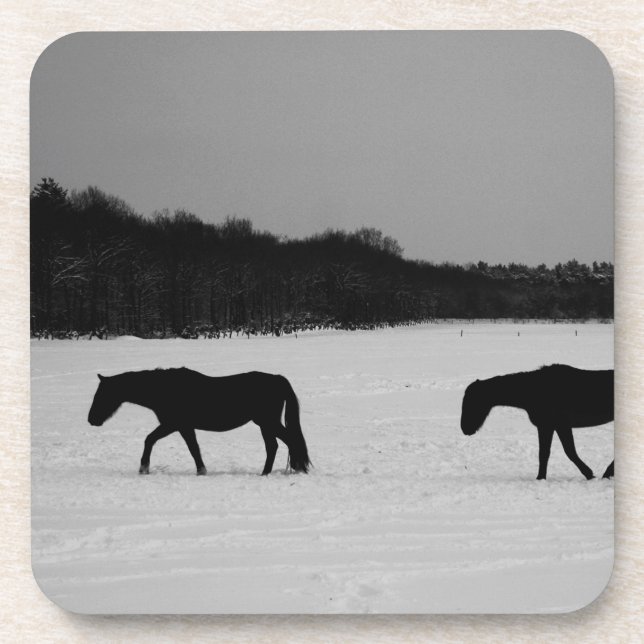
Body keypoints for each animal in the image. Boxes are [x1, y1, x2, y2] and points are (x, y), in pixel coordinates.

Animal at [87, 368, 311, 476]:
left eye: (102, 394)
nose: (91, 419)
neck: (164, 389)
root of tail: (277, 378)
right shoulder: (183, 427)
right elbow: (193, 448)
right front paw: (201, 470)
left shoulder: (175, 425)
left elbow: (151, 439)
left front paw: (144, 468)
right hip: (265, 424)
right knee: (274, 446)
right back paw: (266, 473)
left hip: (267, 422)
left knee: (288, 441)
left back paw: (293, 469)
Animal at [460, 364, 614, 480]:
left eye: (472, 402)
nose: (465, 429)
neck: (536, 391)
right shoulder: (551, 426)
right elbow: (549, 453)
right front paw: (541, 477)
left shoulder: (555, 425)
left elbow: (564, 452)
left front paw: (589, 474)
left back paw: (608, 473)